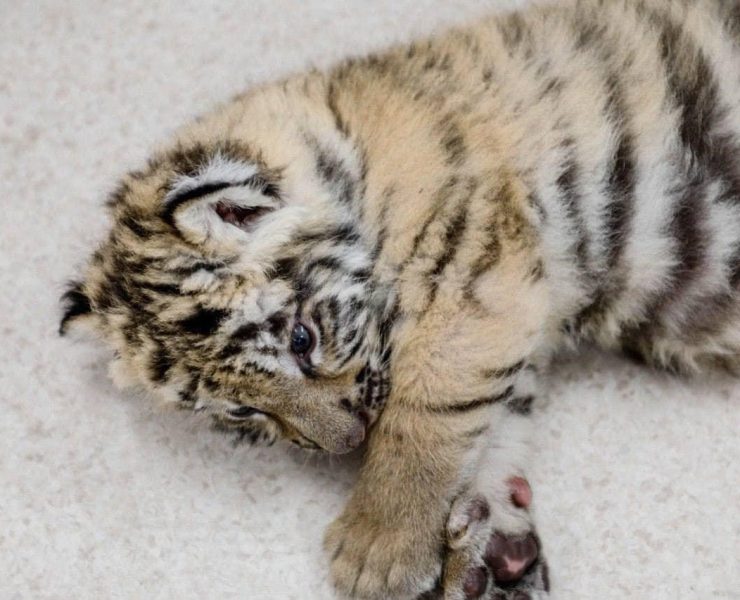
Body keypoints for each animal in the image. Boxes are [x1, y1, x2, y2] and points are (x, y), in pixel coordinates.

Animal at [60, 0, 740, 598]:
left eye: (303, 340)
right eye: (242, 411)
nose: (342, 445)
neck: (351, 165)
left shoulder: (473, 270)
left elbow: (428, 411)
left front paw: (377, 549)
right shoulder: (516, 309)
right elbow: (494, 416)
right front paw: (493, 551)